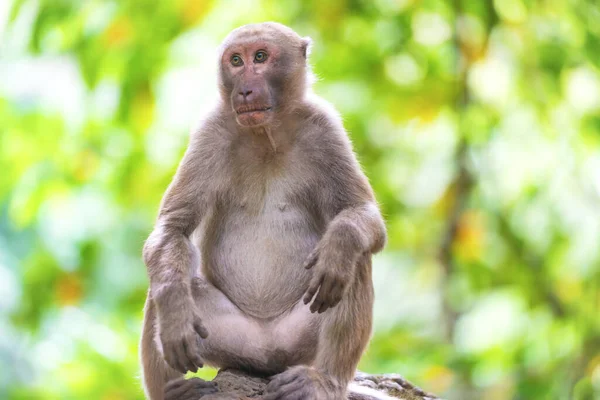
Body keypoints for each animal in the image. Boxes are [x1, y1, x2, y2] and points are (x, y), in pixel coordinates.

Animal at [139, 22, 386, 400]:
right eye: (236, 61)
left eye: (260, 57)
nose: (244, 89)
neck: (267, 135)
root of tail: (266, 354)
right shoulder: (210, 131)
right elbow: (173, 231)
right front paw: (175, 309)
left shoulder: (325, 128)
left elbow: (362, 215)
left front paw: (340, 242)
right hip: (230, 340)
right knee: (166, 277)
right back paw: (174, 388)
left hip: (298, 341)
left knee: (352, 262)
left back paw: (325, 380)